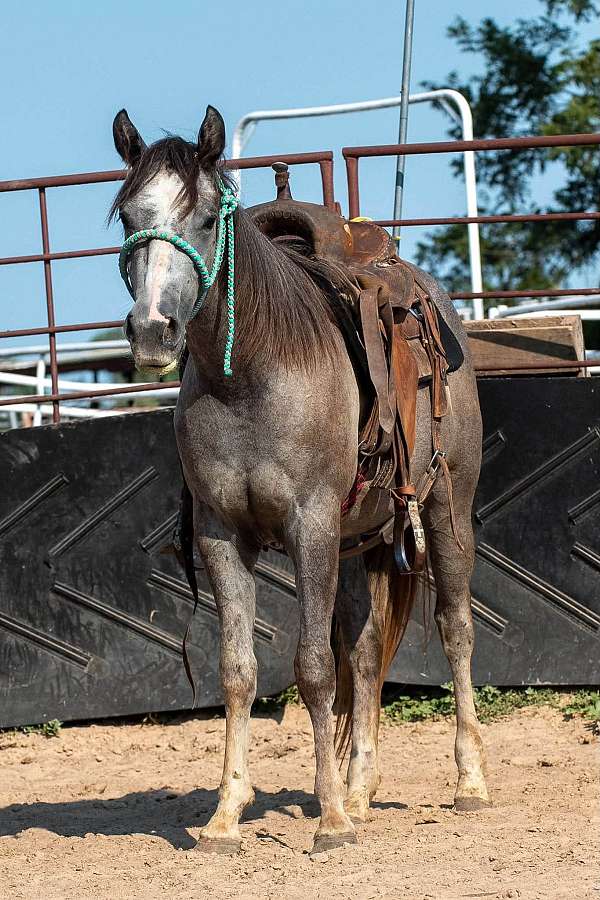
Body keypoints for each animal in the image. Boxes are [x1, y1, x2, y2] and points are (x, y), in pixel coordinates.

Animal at [110, 104, 490, 856]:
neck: (254, 374)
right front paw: (226, 815)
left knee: (455, 627)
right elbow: (238, 672)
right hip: (358, 542)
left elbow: (313, 669)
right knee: (368, 654)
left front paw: (330, 818)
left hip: (443, 510)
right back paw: (363, 789)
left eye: (207, 219)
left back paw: (467, 782)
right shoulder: (222, 536)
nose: (152, 331)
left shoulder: (309, 523)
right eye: (128, 214)